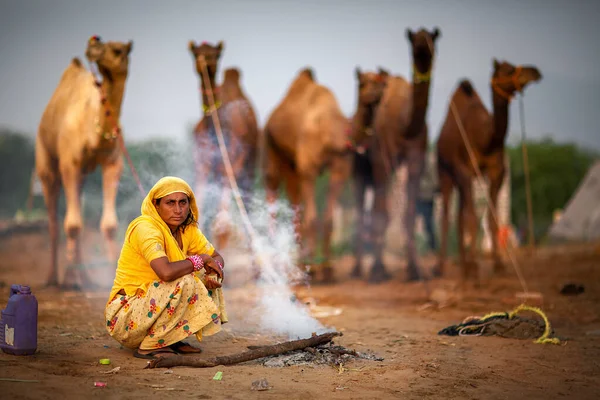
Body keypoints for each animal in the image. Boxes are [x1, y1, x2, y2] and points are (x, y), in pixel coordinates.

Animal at [36, 36, 134, 290]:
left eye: (118, 50)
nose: (94, 44)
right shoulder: (70, 162)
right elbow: (71, 225)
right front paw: (70, 278)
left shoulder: (113, 162)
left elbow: (109, 224)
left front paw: (114, 271)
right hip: (45, 158)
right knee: (54, 219)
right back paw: (53, 278)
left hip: (81, 175)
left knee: (75, 207)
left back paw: (85, 277)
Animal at [190, 40, 260, 248]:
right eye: (195, 53)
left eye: (216, 54)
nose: (205, 62)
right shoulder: (202, 166)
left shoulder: (232, 165)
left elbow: (222, 225)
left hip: (250, 163)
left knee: (247, 204)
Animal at [264, 67, 368, 282]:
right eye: (362, 83)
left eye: (384, 83)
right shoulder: (309, 169)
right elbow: (312, 219)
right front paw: (312, 271)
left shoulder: (339, 168)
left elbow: (328, 219)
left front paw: (328, 271)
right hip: (271, 146)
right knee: (272, 186)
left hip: (292, 165)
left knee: (294, 199)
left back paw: (297, 265)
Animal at [352, 27, 440, 282]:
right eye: (413, 38)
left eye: (432, 37)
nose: (422, 46)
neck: (405, 124)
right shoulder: (383, 158)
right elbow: (383, 213)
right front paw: (377, 271)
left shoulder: (417, 158)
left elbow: (408, 214)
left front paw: (414, 270)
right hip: (359, 171)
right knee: (362, 209)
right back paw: (358, 269)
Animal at [436, 59, 544, 282]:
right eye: (507, 70)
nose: (535, 72)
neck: (486, 138)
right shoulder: (465, 170)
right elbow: (472, 218)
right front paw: (476, 268)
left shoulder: (497, 172)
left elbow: (492, 219)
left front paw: (498, 265)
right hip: (444, 171)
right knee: (447, 215)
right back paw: (442, 267)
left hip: (460, 180)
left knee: (460, 216)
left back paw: (463, 266)